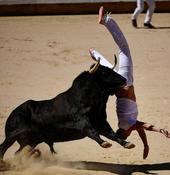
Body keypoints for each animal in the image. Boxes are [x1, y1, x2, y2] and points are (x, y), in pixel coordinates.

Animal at [0, 64, 135, 159]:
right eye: (105, 73)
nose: (124, 79)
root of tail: (13, 112)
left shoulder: (101, 122)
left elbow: (113, 134)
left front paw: (127, 143)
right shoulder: (82, 122)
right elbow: (93, 132)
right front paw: (104, 143)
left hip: (30, 141)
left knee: (18, 152)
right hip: (12, 135)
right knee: (3, 147)